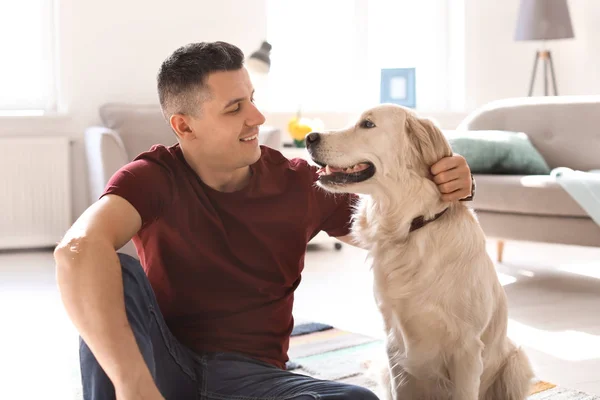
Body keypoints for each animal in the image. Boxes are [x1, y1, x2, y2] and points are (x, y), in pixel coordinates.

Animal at [304, 104, 536, 400]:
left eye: (367, 124)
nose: (309, 137)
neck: (410, 226)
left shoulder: (467, 349)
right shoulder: (395, 346)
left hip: (517, 363)